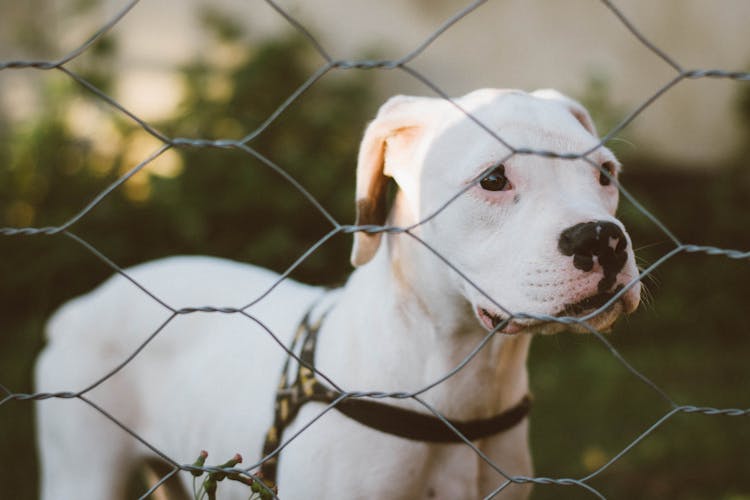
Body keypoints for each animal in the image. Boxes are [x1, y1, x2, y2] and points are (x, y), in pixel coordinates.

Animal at [35, 88, 644, 498]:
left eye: (607, 174)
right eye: (493, 179)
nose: (603, 238)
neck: (462, 383)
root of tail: (81, 306)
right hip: (81, 473)